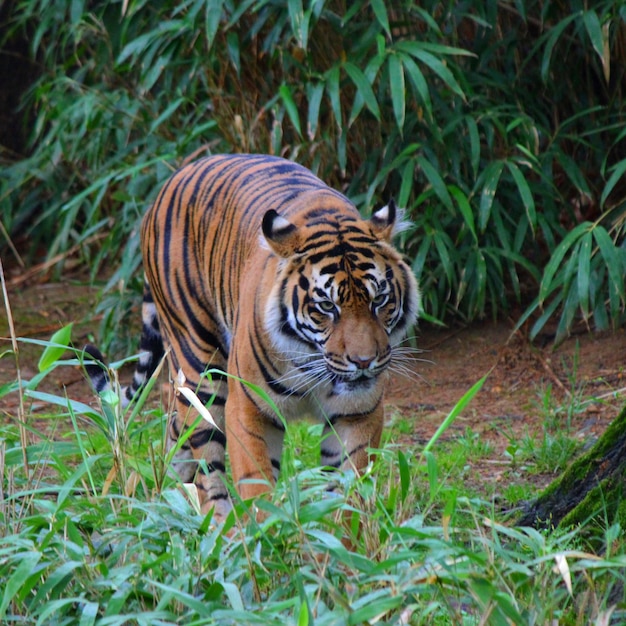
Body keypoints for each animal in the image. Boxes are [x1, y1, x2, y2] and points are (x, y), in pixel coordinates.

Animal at [85, 154, 420, 520]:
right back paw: (216, 524)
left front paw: (340, 532)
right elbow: (257, 484)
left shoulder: (358, 412)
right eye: (327, 306)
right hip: (200, 368)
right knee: (206, 463)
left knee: (177, 432)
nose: (364, 362)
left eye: (379, 300)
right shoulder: (249, 407)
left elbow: (349, 492)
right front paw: (270, 531)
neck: (312, 362)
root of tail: (170, 181)